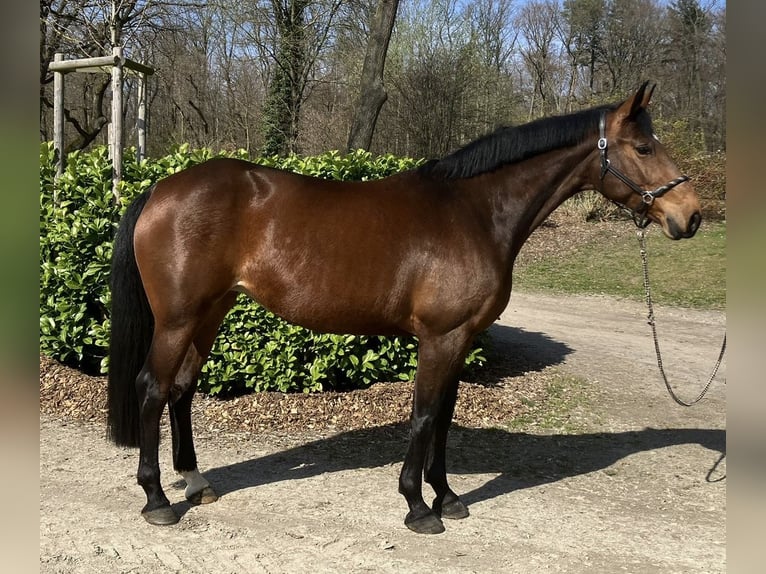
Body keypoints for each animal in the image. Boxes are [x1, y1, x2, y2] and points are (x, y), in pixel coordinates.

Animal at [107, 82, 701, 535]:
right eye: (643, 148)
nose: (691, 215)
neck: (474, 211)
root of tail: (161, 189)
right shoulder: (440, 337)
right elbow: (423, 415)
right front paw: (418, 507)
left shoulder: (460, 339)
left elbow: (444, 417)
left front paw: (448, 497)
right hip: (177, 319)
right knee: (152, 388)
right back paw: (158, 500)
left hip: (212, 311)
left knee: (182, 390)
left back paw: (196, 483)